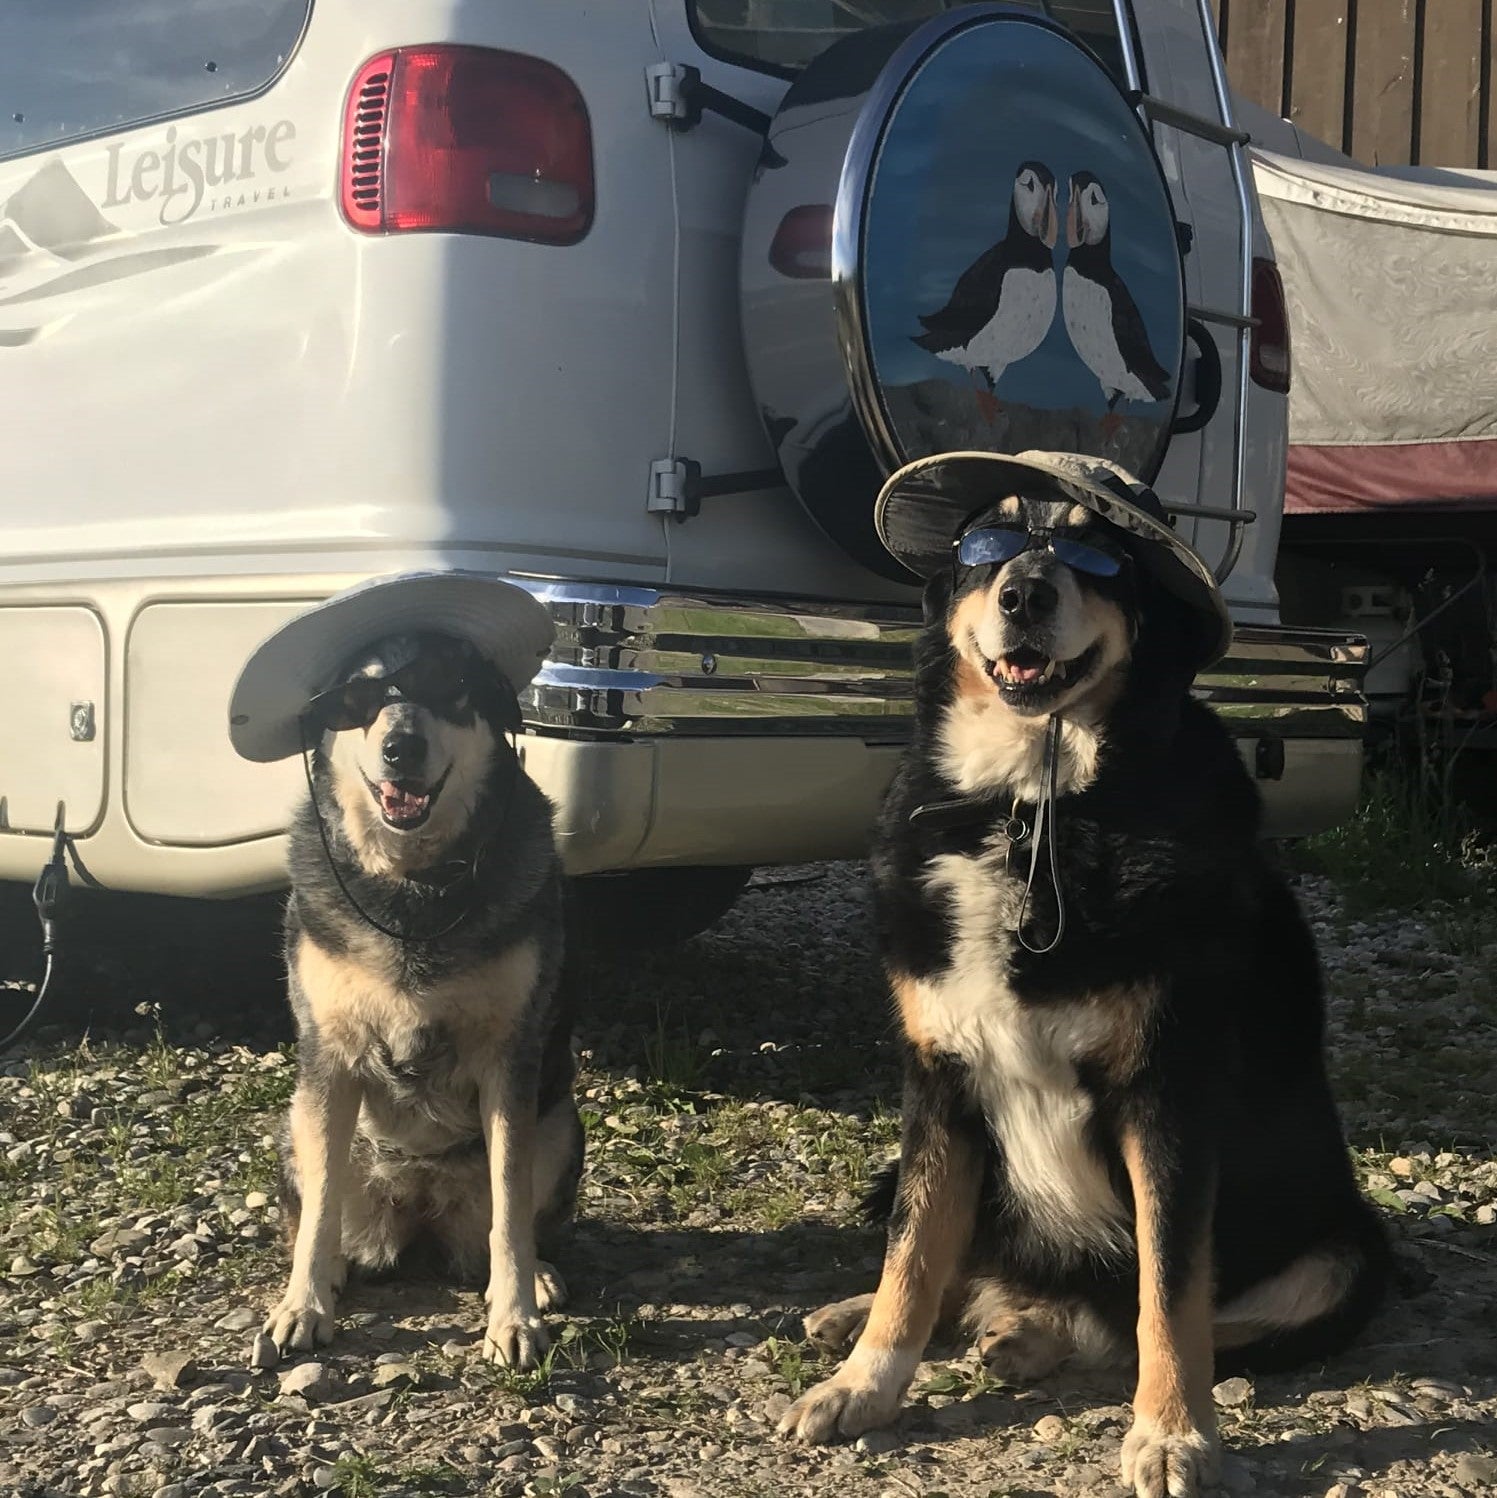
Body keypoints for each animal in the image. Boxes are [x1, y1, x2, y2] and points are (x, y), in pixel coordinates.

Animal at [230, 569, 575, 1372]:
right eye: (357, 700)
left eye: (448, 687)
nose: (401, 746)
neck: (415, 887)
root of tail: (419, 1213)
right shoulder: (328, 1061)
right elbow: (319, 1208)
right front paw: (303, 1308)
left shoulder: (510, 1064)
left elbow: (511, 1208)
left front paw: (514, 1316)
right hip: (295, 1125)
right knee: (316, 1212)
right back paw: (324, 1271)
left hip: (561, 1123)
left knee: (513, 1218)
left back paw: (537, 1277)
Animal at [779, 452, 1384, 1498]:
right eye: (988, 543)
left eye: (1099, 556)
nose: (1023, 593)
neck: (1033, 812)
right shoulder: (938, 1083)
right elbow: (912, 1250)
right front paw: (866, 1381)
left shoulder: (1168, 1099)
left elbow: (1167, 1297)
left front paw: (1172, 1434)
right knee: (954, 1257)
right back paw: (890, 1318)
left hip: (1344, 1256)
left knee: (1136, 1323)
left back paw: (1033, 1334)